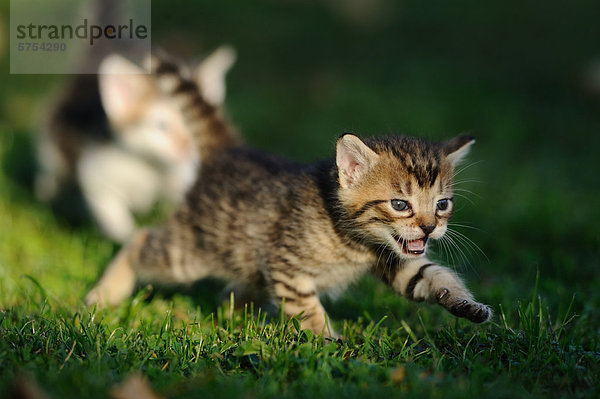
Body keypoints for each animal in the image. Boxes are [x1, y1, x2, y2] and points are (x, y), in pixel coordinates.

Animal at [34, 45, 237, 242]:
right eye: (162, 126)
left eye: (191, 124)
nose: (188, 147)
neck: (148, 165)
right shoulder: (97, 172)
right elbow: (109, 208)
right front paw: (124, 235)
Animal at [88, 56, 492, 338]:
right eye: (399, 204)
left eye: (442, 204)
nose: (429, 228)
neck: (353, 239)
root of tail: (230, 151)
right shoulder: (287, 265)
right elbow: (307, 310)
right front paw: (329, 345)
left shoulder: (396, 260)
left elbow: (432, 275)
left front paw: (467, 305)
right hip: (190, 252)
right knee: (140, 240)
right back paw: (105, 294)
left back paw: (239, 313)